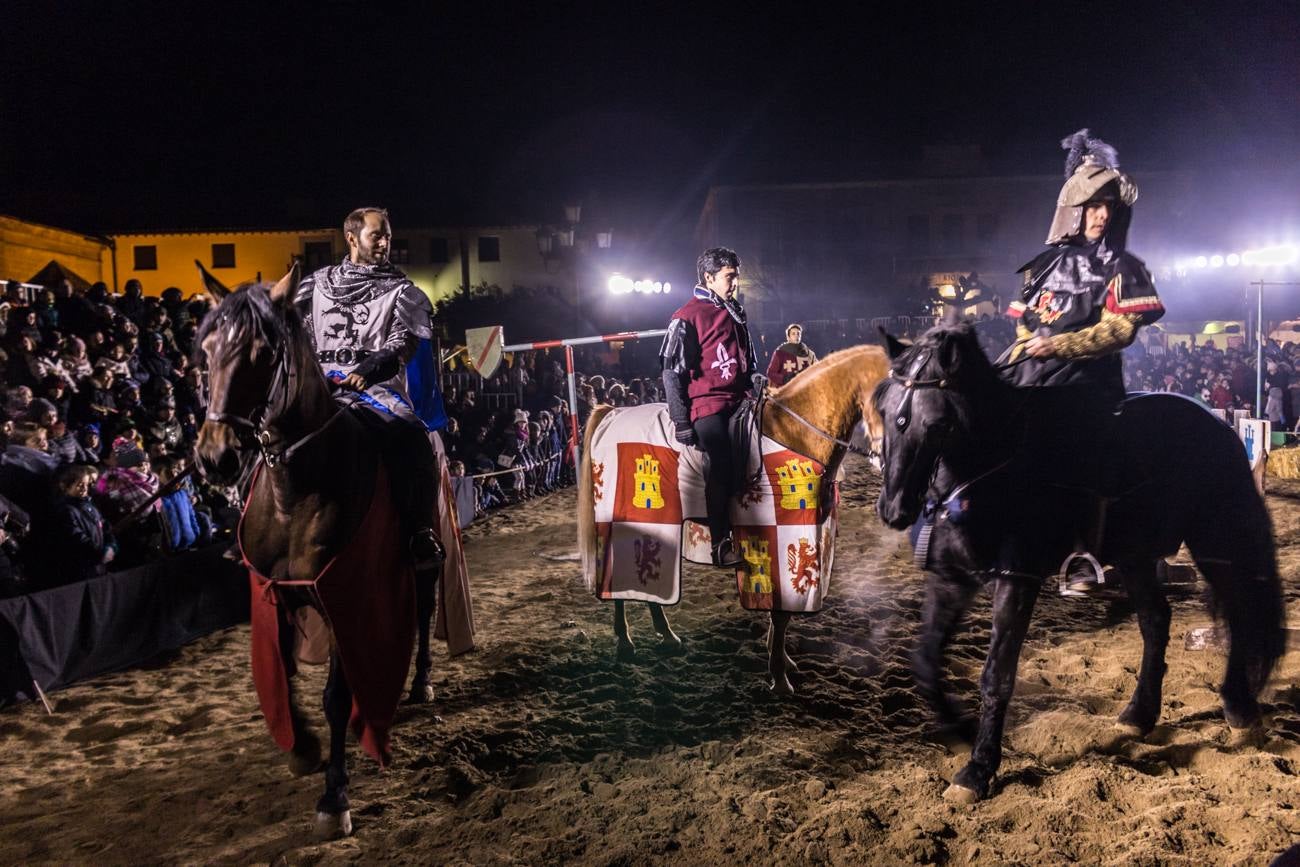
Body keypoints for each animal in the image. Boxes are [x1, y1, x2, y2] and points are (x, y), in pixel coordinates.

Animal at [192, 267, 436, 837]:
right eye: (206, 349)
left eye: (263, 353)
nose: (215, 456)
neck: (294, 494)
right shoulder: (276, 595)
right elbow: (282, 673)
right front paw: (302, 747)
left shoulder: (342, 594)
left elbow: (334, 697)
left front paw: (334, 796)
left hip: (425, 557)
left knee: (426, 608)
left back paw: (420, 683)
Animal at [582, 343, 894, 691]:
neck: (794, 432)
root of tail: (611, 414)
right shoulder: (778, 533)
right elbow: (780, 612)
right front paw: (779, 677)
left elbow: (781, 610)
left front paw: (781, 660)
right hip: (624, 520)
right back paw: (625, 643)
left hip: (654, 524)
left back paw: (666, 635)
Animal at [868, 322, 1284, 805]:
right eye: (884, 411)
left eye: (936, 422)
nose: (894, 508)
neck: (990, 467)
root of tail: (1219, 424)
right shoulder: (949, 579)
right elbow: (925, 660)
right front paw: (961, 728)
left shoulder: (1017, 579)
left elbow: (997, 674)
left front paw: (978, 769)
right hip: (1135, 554)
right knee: (1156, 620)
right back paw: (1139, 714)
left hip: (1214, 542)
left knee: (1238, 614)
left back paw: (1238, 709)